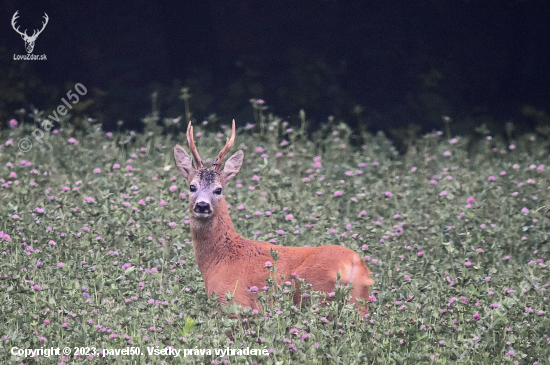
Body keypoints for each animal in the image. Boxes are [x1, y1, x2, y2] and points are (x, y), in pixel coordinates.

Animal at [177, 119, 376, 316]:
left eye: (218, 190)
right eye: (192, 187)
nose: (202, 206)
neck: (219, 258)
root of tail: (354, 263)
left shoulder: (235, 302)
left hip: (318, 295)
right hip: (359, 302)